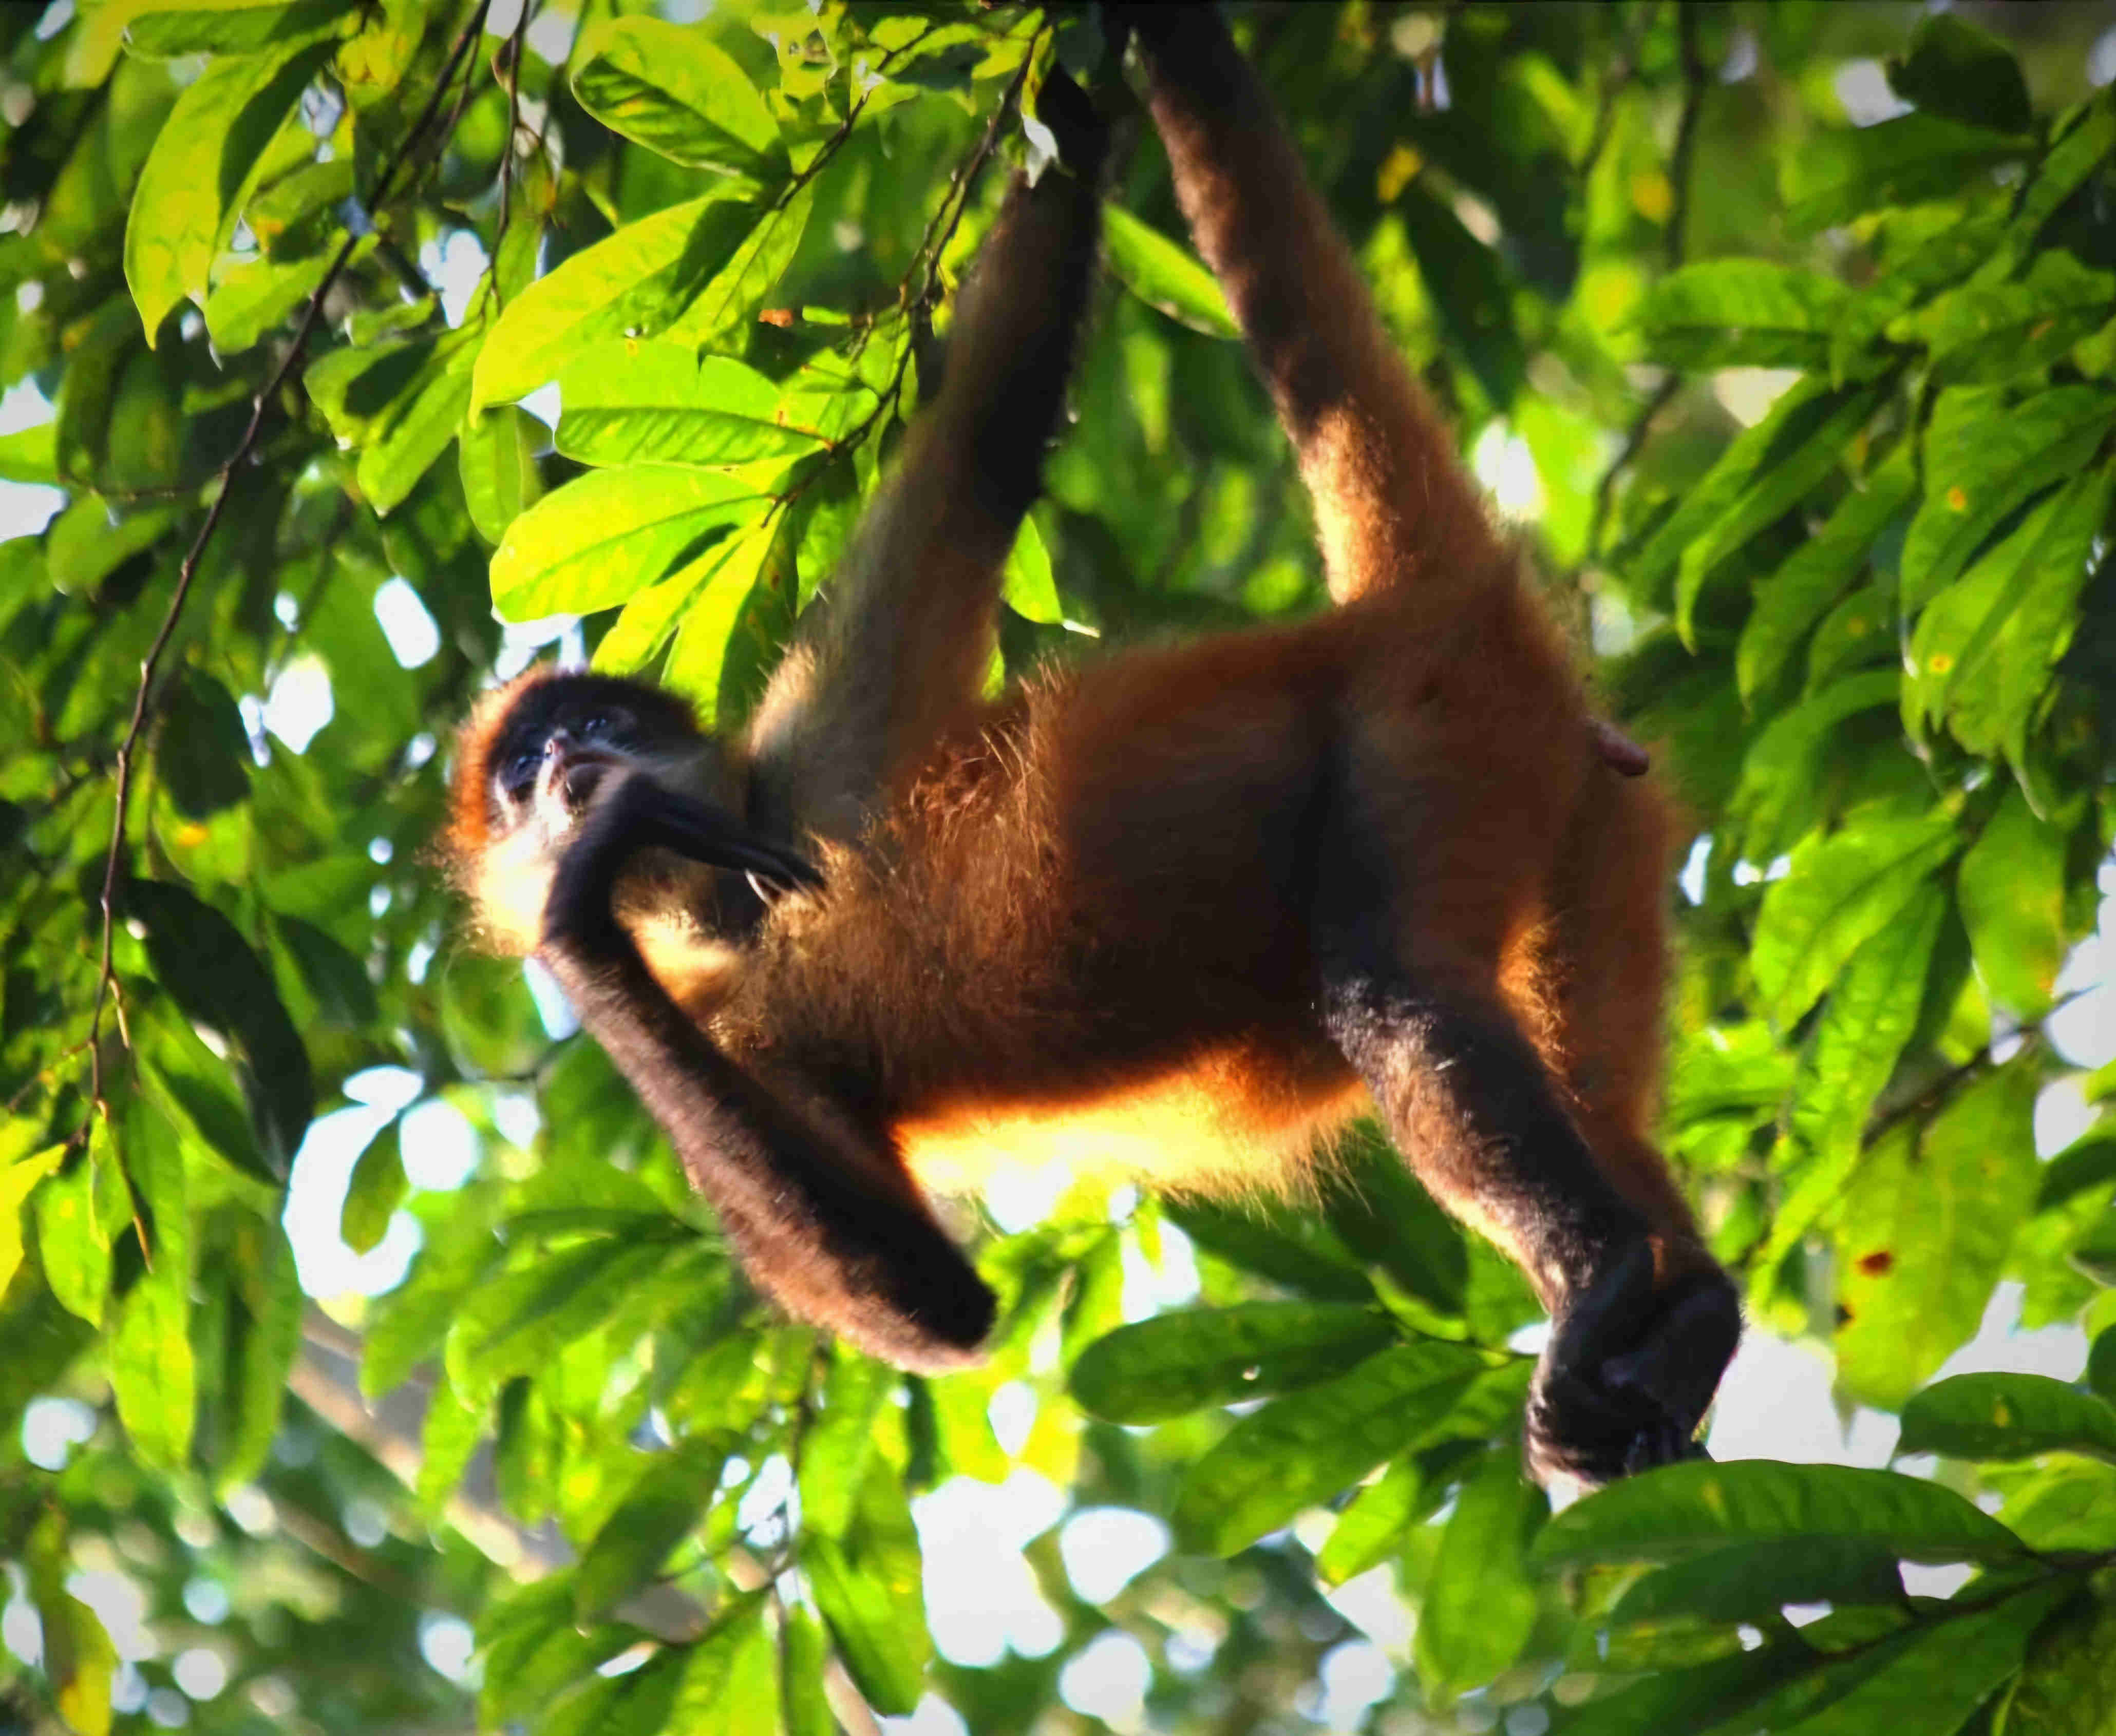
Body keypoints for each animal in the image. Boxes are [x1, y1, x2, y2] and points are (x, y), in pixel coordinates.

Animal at [446, 24, 1740, 1488]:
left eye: (595, 729)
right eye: (519, 781)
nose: (566, 773)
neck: (734, 914)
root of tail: (1402, 611)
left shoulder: (811, 750)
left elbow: (984, 429)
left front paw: (1068, 66)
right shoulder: (732, 1019)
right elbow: (939, 1307)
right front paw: (577, 903)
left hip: (1426, 724)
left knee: (1395, 991)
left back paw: (1605, 1279)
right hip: (1584, 812)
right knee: (1587, 1085)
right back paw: (1687, 1308)